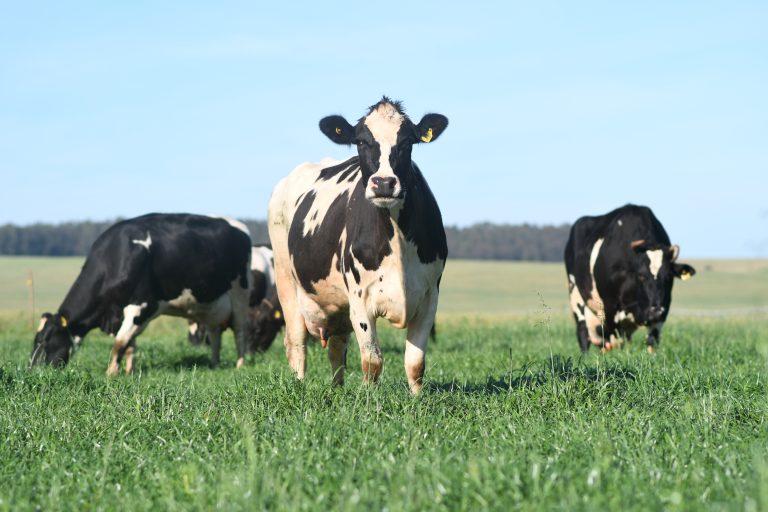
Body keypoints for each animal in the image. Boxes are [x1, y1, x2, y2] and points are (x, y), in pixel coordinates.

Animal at [30, 212, 252, 372]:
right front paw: (128, 372)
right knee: (215, 334)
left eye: (44, 340)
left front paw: (111, 374)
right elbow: (130, 345)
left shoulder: (141, 306)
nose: (32, 370)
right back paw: (214, 364)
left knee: (240, 332)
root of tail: (241, 226)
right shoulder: (121, 312)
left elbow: (120, 343)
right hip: (212, 306)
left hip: (240, 297)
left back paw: (240, 365)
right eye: (36, 339)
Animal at [268, 97, 450, 392]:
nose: (384, 183)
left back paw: (337, 388)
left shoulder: (429, 296)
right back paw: (299, 387)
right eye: (362, 141)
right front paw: (369, 398)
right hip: (286, 280)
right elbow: (372, 361)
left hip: (338, 305)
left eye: (407, 142)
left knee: (336, 347)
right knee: (296, 343)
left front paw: (418, 398)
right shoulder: (361, 299)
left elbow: (415, 363)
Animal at [564, 204, 696, 352]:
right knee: (583, 333)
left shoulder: (664, 308)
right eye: (641, 275)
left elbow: (652, 341)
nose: (656, 312)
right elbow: (616, 341)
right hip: (576, 294)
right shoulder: (610, 307)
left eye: (668, 276)